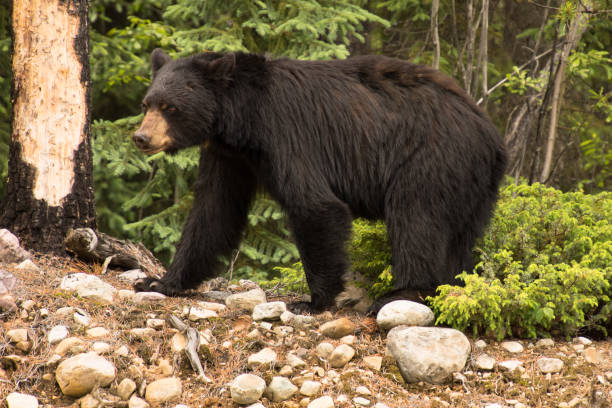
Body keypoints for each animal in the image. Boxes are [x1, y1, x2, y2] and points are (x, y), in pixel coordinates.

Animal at [134, 49, 506, 314]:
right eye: (147, 103)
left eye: (170, 107)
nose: (141, 137)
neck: (242, 120)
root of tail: (491, 134)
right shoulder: (229, 157)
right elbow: (213, 211)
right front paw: (159, 281)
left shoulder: (286, 135)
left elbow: (315, 205)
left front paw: (313, 301)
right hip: (473, 184)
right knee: (461, 238)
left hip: (431, 157)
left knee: (416, 220)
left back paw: (402, 293)